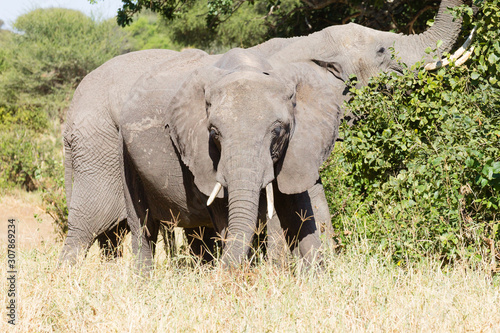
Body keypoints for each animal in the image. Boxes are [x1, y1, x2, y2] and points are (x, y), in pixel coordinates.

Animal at [61, 0, 464, 264]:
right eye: (382, 51)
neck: (304, 43)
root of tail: (69, 114)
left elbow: (311, 201)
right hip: (100, 148)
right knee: (88, 225)